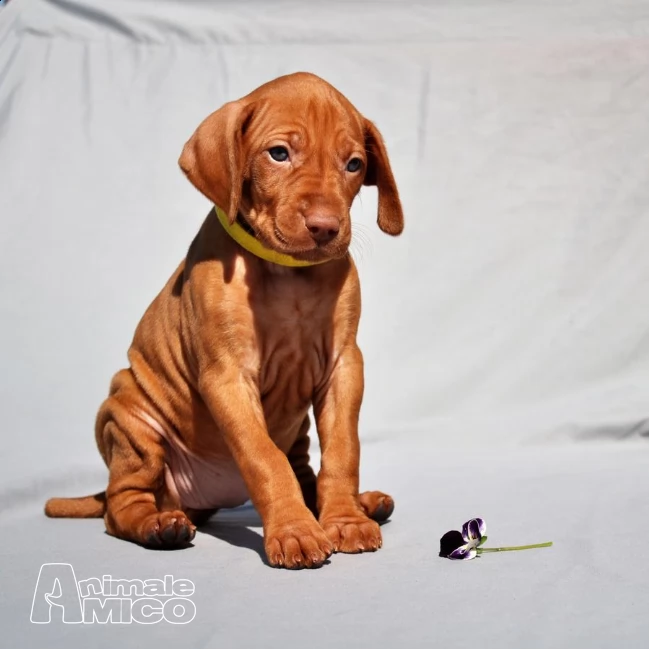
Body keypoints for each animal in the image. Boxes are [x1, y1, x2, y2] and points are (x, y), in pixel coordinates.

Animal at [45, 71, 402, 568]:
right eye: (278, 154)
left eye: (353, 165)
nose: (326, 227)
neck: (288, 275)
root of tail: (198, 502)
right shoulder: (227, 377)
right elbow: (262, 457)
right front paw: (295, 531)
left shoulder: (344, 367)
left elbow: (343, 451)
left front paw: (344, 519)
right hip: (129, 420)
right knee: (121, 505)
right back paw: (158, 526)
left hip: (295, 435)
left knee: (304, 471)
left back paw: (357, 505)